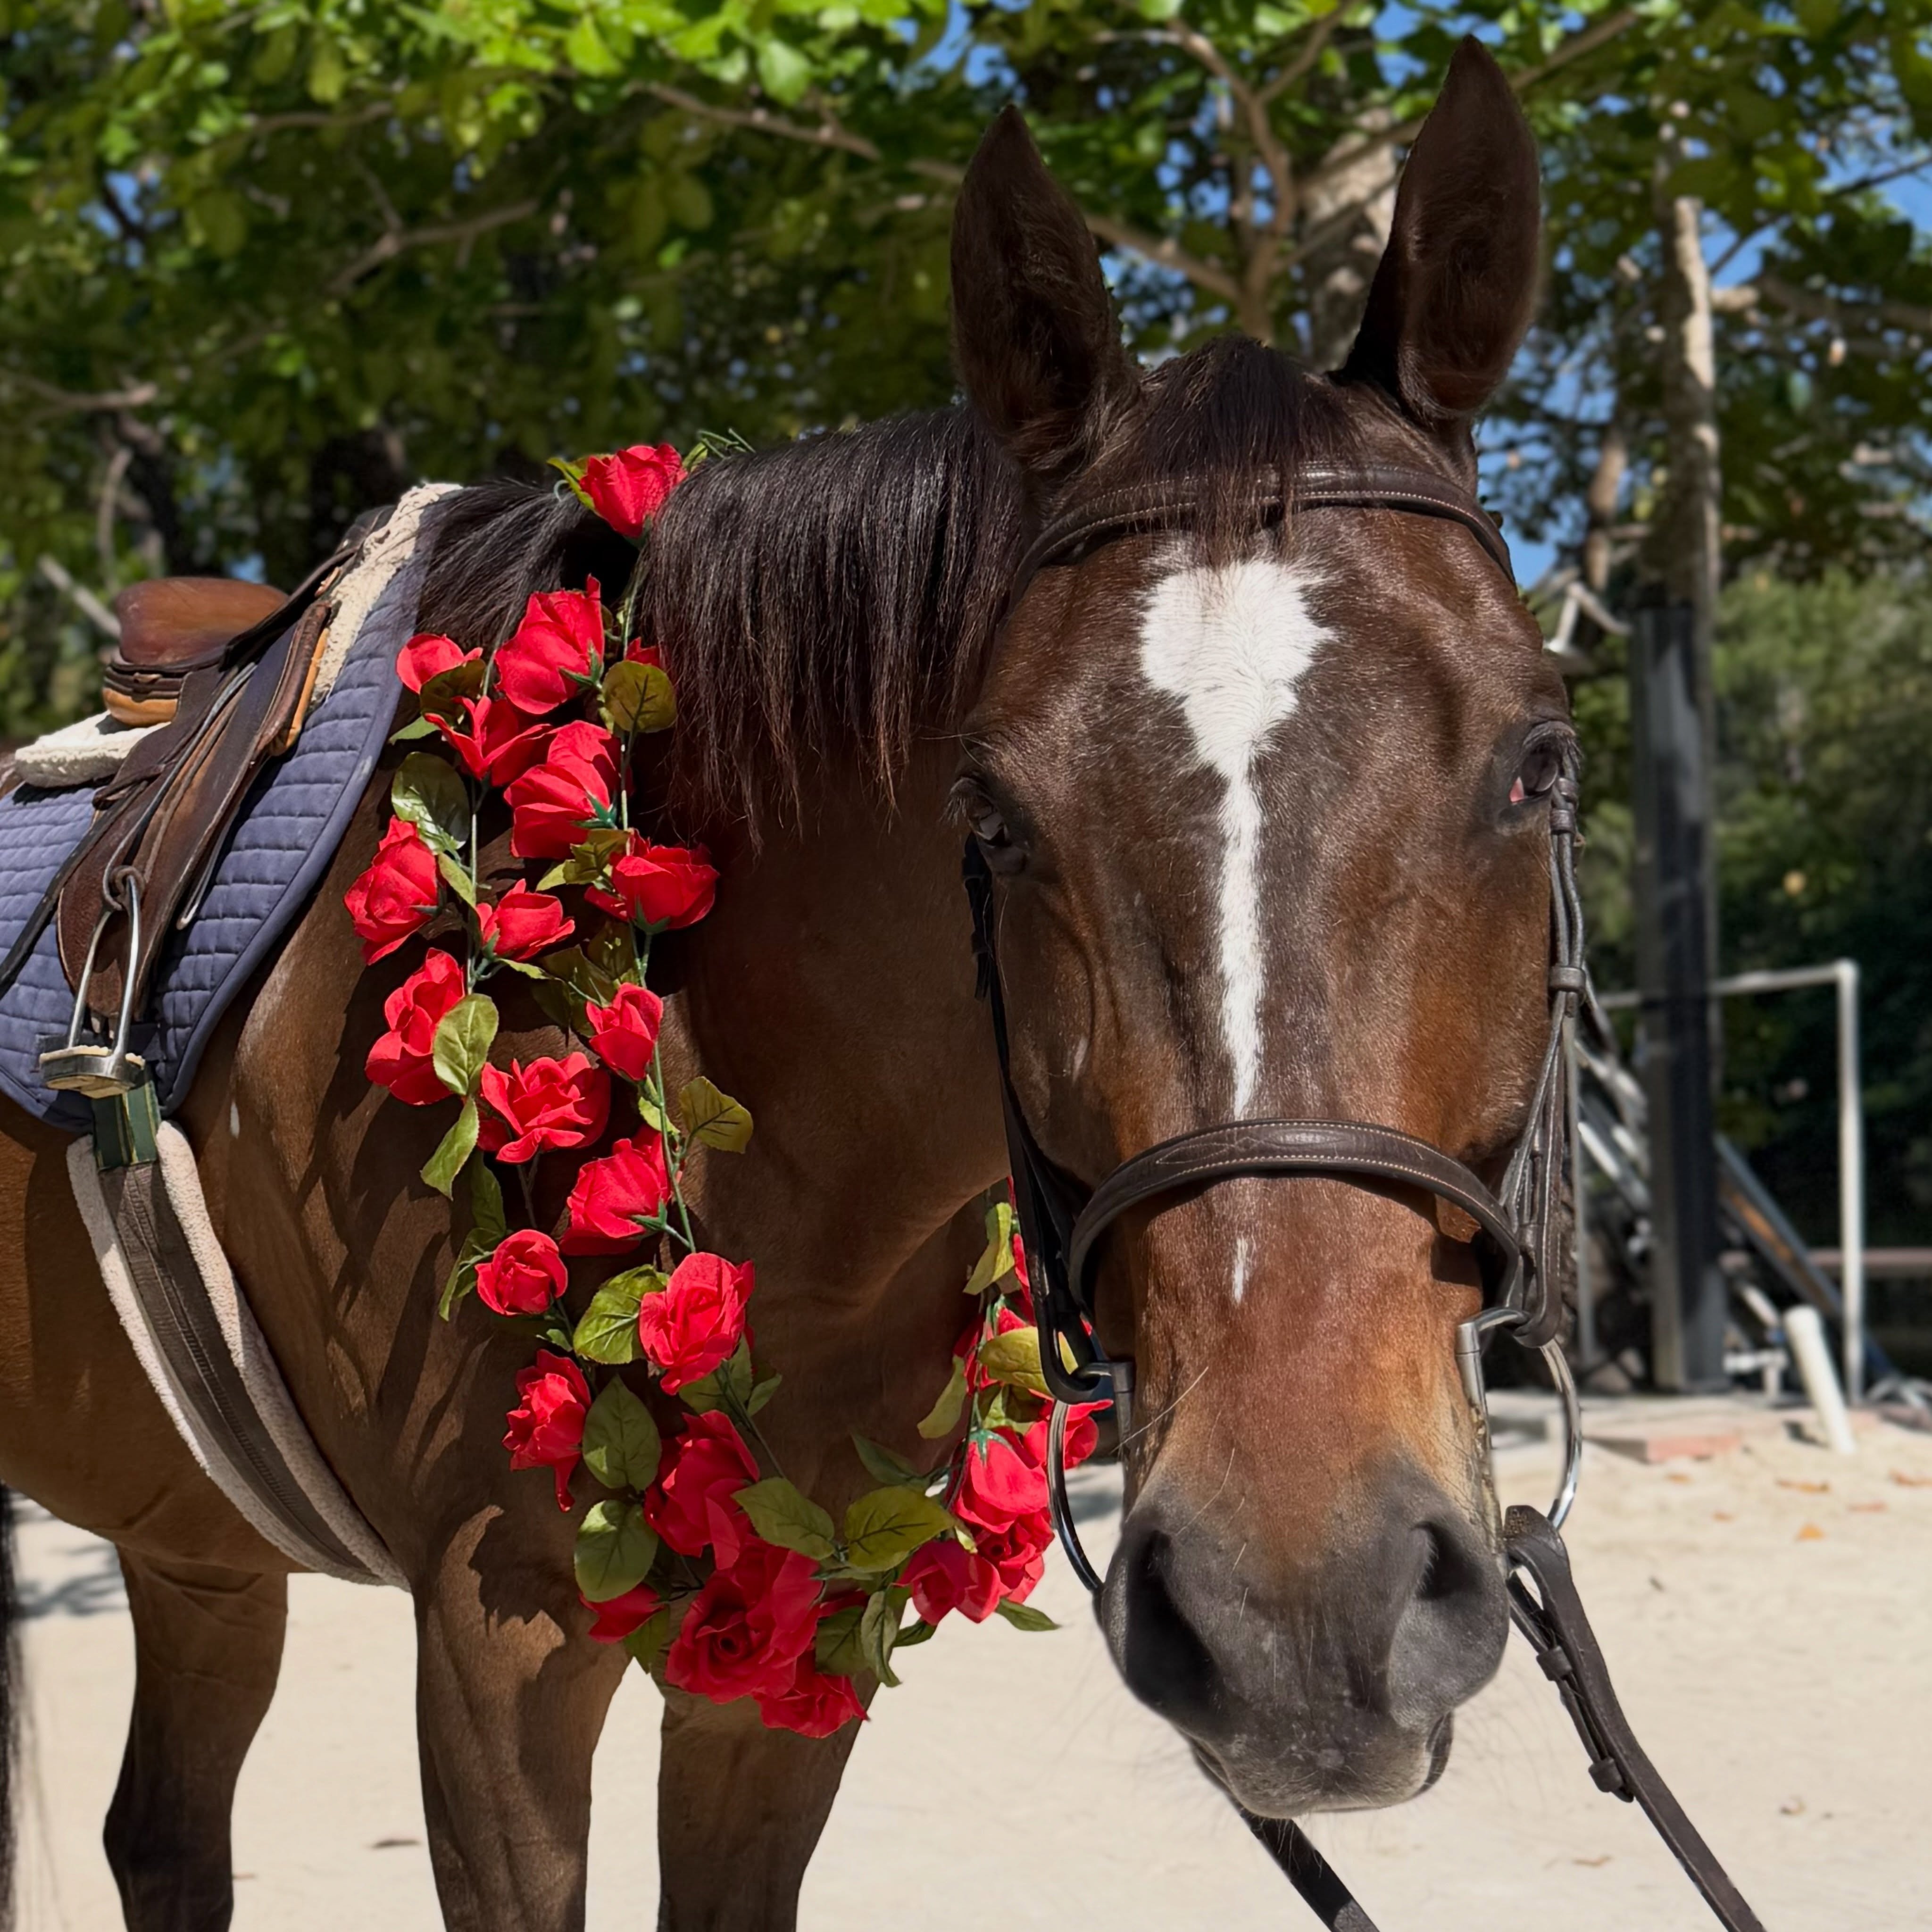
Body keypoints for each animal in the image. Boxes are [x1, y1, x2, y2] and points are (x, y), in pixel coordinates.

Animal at [0, 37, 1561, 1931]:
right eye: (991, 809)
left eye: (1539, 765)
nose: (1298, 1616)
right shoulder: (499, 1645)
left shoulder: (794, 1635)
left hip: (195, 1544)